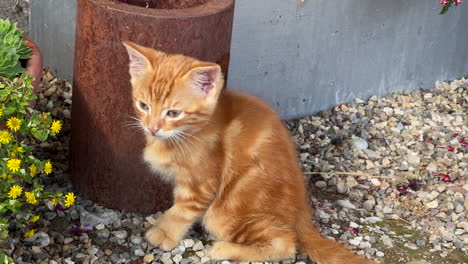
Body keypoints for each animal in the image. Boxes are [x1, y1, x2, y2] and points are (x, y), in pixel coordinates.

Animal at [122, 41, 372, 264]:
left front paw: (164, 233)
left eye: (173, 113)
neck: (186, 134)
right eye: (143, 106)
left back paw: (224, 249)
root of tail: (302, 213)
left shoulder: (202, 183)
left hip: (225, 212)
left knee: (286, 244)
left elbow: (182, 210)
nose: (152, 128)